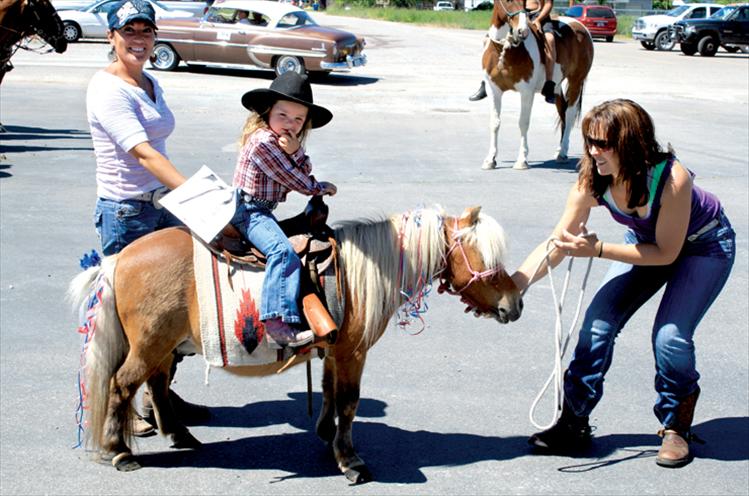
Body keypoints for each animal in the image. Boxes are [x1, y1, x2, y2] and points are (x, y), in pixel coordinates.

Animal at [73, 206, 524, 484]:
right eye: (485, 258)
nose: (515, 304)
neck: (360, 273)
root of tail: (119, 259)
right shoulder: (352, 351)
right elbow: (348, 400)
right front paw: (349, 459)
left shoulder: (334, 350)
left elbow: (328, 391)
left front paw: (327, 435)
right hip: (150, 344)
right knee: (122, 385)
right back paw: (120, 451)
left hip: (165, 345)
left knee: (156, 384)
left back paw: (179, 435)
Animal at [482, 0, 592, 170]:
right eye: (507, 1)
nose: (522, 31)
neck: (504, 48)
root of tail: (581, 27)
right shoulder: (493, 89)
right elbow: (495, 123)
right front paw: (490, 159)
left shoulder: (526, 92)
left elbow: (523, 122)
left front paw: (522, 160)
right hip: (556, 88)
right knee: (562, 112)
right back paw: (560, 150)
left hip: (576, 81)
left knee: (569, 114)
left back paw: (562, 152)